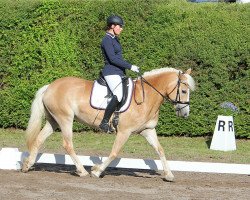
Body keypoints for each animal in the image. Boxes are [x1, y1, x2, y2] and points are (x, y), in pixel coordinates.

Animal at [21, 67, 195, 181]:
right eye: (184, 91)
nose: (185, 114)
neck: (146, 97)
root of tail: (49, 86)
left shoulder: (148, 130)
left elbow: (160, 150)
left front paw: (169, 175)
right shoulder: (124, 131)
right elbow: (114, 152)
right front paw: (96, 171)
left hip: (53, 121)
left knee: (39, 140)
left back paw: (27, 165)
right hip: (65, 119)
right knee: (67, 144)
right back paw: (82, 171)